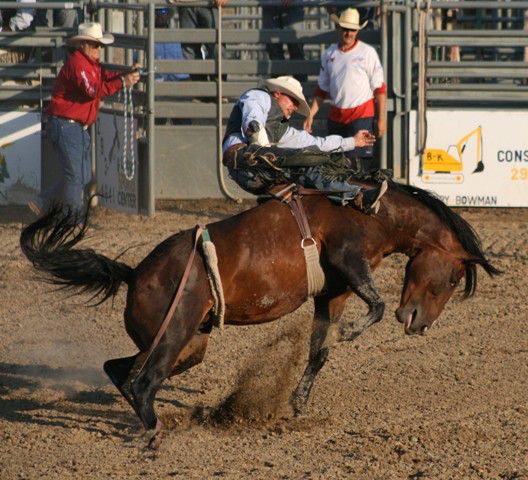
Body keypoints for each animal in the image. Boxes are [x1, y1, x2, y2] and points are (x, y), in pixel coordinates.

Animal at [19, 180, 500, 446]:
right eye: (453, 279)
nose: (418, 324)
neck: (372, 211)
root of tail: (135, 272)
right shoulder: (347, 260)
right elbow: (376, 306)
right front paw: (351, 334)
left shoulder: (334, 291)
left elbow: (319, 351)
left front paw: (299, 404)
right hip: (174, 334)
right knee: (144, 380)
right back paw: (156, 431)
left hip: (187, 344)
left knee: (121, 370)